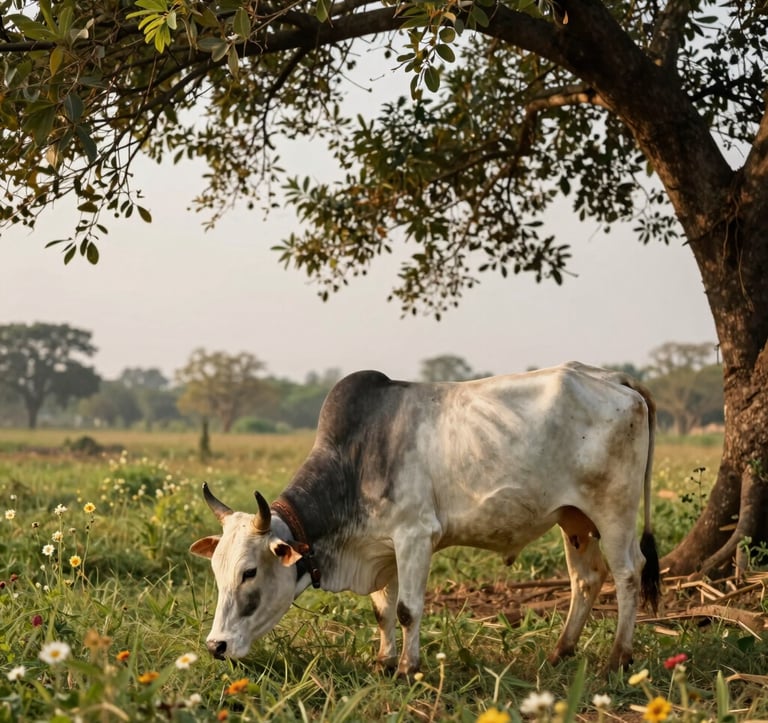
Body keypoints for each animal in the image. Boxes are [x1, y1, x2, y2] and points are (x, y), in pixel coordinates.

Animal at [190, 362, 660, 676]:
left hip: (614, 512)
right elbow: (381, 611)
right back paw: (560, 652)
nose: (216, 645)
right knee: (587, 577)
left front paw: (406, 668)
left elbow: (406, 609)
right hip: (573, 518)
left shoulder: (414, 537)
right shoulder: (382, 550)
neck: (355, 460)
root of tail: (616, 378)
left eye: (250, 572)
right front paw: (383, 662)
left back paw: (618, 658)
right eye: (215, 571)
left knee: (627, 573)